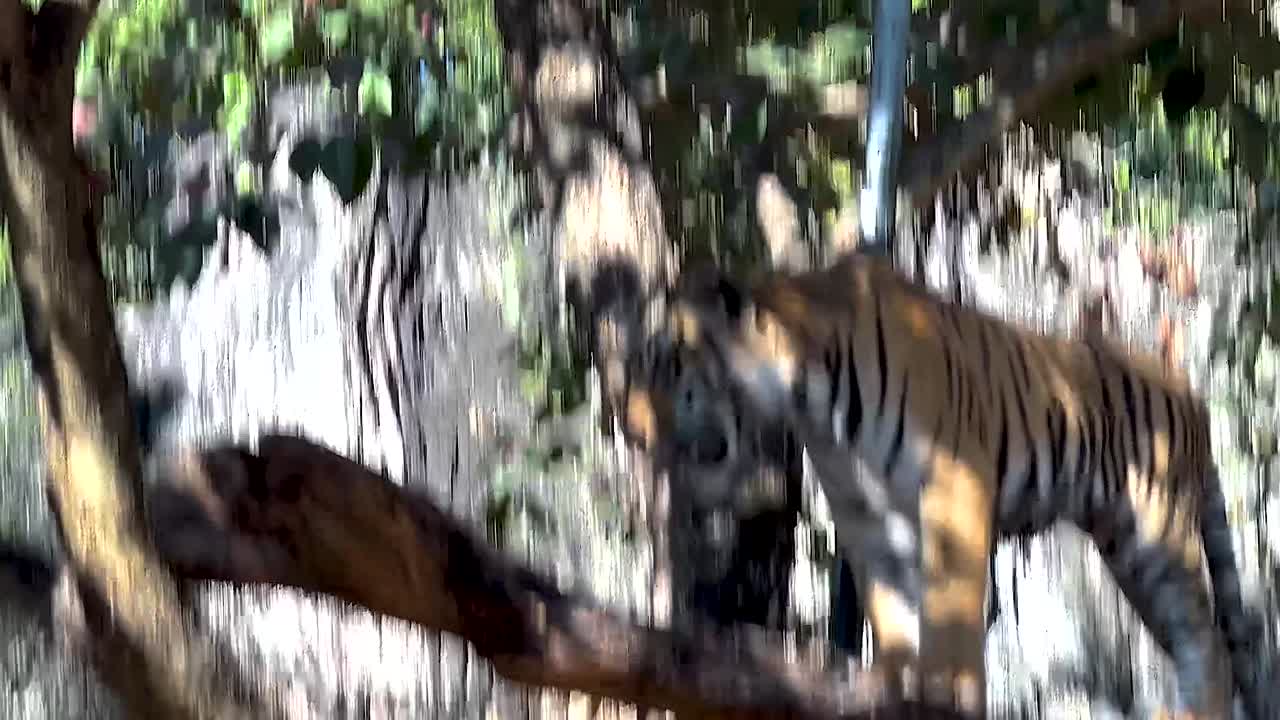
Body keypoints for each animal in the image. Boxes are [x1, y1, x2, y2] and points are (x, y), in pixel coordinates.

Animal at [620, 251, 1265, 719]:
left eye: (670, 361)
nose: (628, 425)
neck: (809, 396)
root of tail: (1191, 391)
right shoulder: (866, 512)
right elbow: (890, 609)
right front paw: (893, 685)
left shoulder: (953, 488)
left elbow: (950, 611)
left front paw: (948, 691)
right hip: (1125, 545)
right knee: (1198, 645)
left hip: (1155, 536)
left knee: (1211, 646)